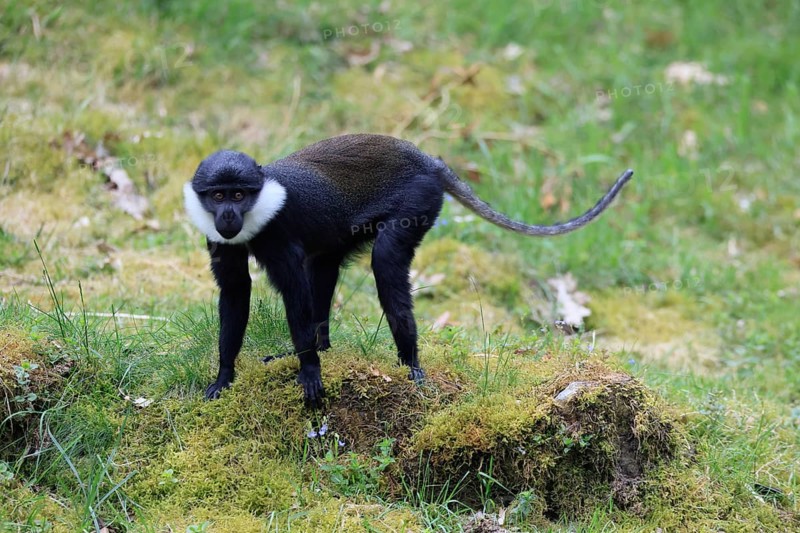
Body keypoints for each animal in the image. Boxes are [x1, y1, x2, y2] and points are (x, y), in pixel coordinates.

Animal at [184, 134, 633, 404]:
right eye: (218, 195)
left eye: (239, 195)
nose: (228, 216)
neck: (259, 207)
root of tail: (428, 161)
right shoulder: (220, 241)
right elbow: (236, 291)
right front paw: (224, 376)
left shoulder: (279, 238)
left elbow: (294, 295)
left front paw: (309, 372)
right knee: (324, 264)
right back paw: (325, 345)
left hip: (419, 200)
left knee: (384, 262)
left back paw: (411, 365)